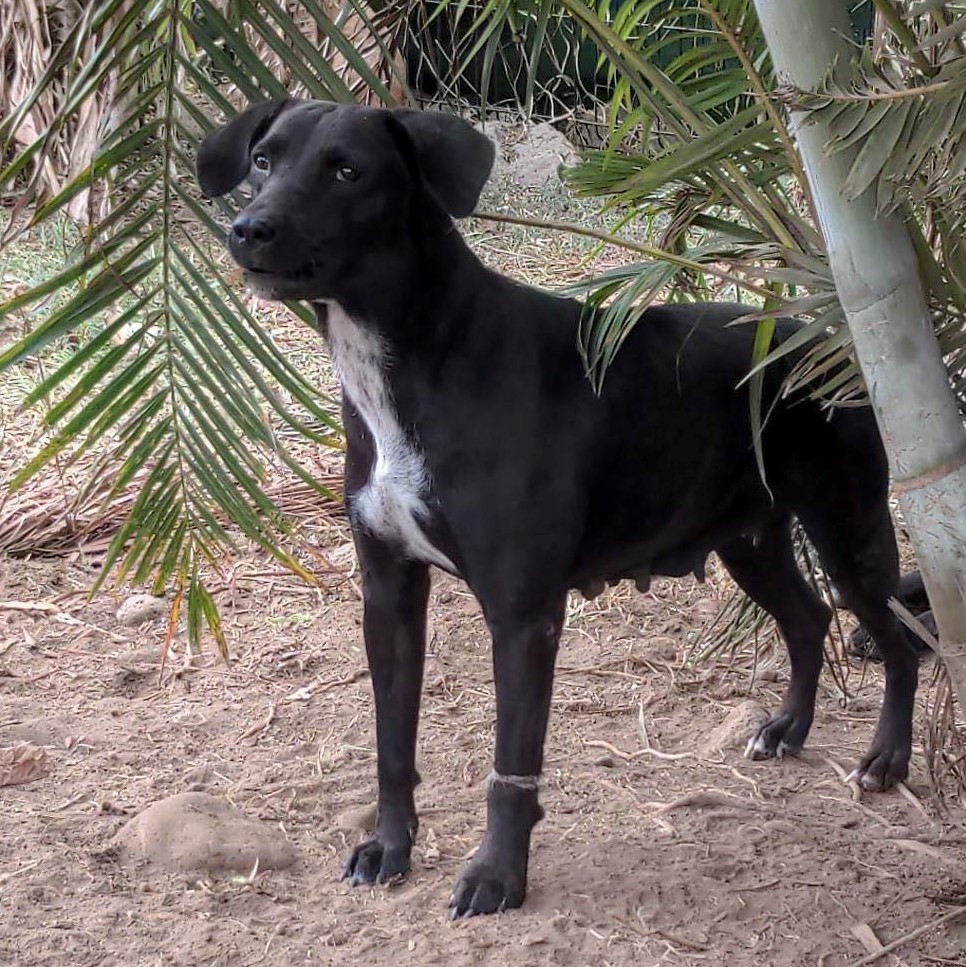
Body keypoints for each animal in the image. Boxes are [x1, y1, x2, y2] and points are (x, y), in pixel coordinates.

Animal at [195, 102, 924, 920]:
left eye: (347, 170)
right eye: (264, 159)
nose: (247, 229)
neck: (418, 358)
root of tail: (830, 338)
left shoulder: (523, 615)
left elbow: (512, 768)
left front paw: (496, 877)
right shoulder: (388, 592)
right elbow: (392, 743)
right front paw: (391, 846)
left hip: (847, 529)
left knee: (896, 638)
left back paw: (887, 758)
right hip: (749, 541)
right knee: (808, 618)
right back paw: (789, 728)